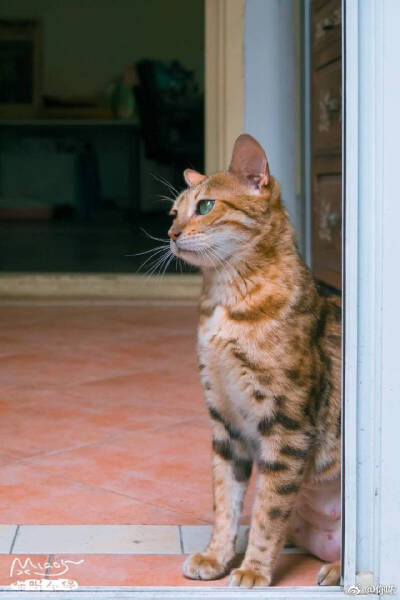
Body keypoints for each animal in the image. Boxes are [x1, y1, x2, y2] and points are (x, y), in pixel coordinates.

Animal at [168, 135, 340, 584]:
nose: (171, 233)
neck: (225, 302)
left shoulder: (287, 426)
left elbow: (268, 511)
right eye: (173, 211)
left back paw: (335, 568)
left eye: (206, 206)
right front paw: (216, 555)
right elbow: (225, 500)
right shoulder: (225, 421)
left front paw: (254, 570)